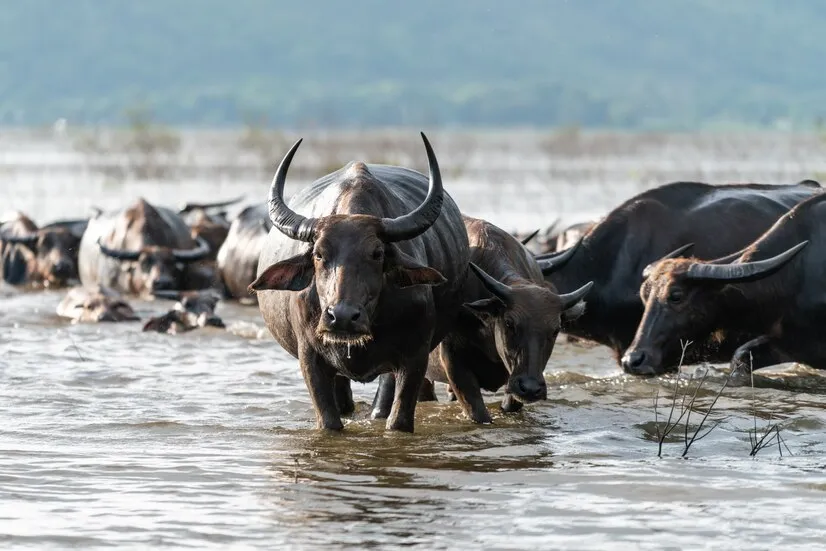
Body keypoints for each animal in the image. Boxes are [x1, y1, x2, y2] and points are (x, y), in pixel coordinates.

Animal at [251, 132, 466, 434]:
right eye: (319, 254)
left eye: (377, 253)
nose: (341, 317)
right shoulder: (310, 359)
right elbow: (329, 421)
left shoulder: (414, 357)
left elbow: (398, 420)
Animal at [616, 192, 824, 378]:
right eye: (644, 294)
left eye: (676, 296)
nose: (633, 360)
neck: (796, 274)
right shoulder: (785, 344)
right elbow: (741, 357)